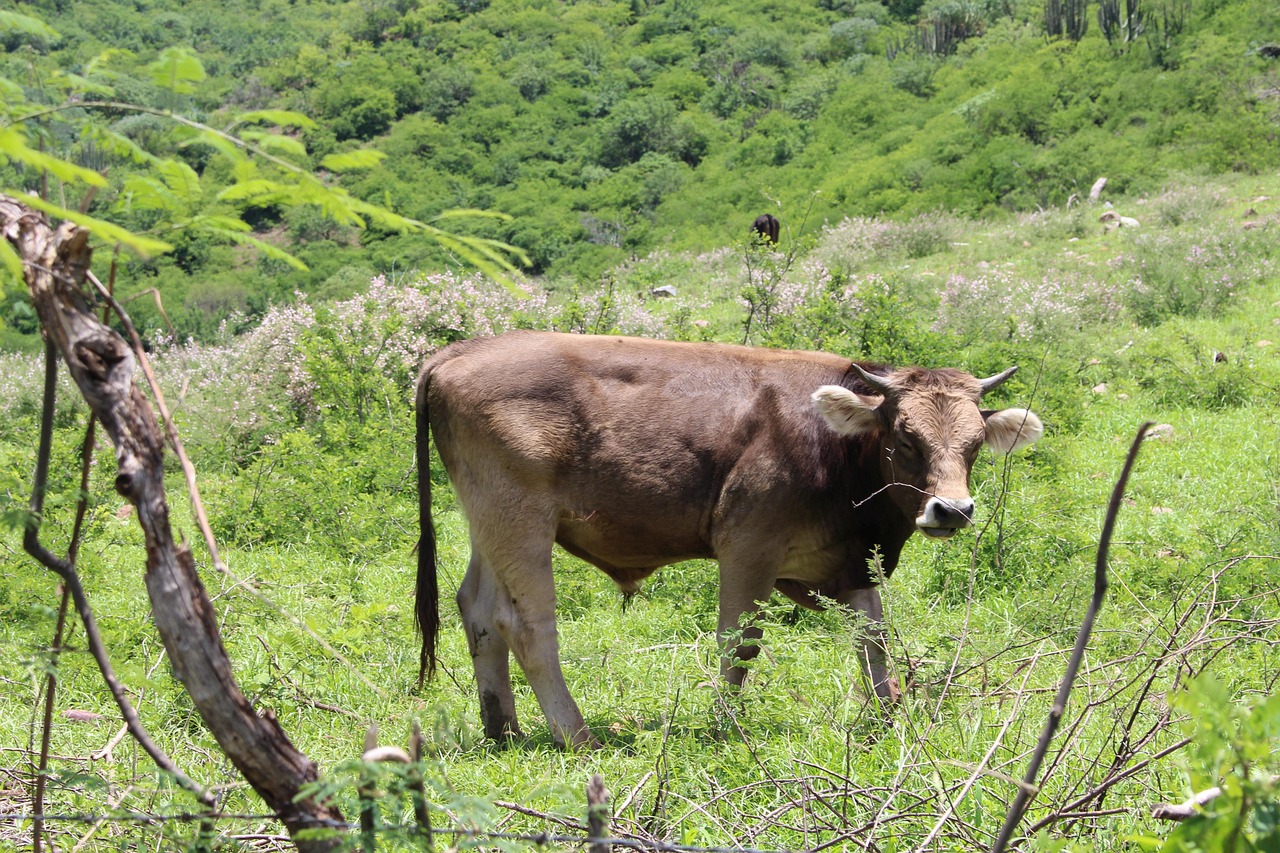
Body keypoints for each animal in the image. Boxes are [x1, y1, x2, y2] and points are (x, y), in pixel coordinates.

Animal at [415, 331, 1042, 749]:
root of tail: (459, 352)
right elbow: (738, 644)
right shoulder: (749, 547)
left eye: (975, 443)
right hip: (521, 521)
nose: (951, 509)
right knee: (527, 625)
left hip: (488, 521)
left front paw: (889, 720)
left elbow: (874, 638)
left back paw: (503, 729)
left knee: (479, 610)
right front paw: (726, 726)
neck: (831, 446)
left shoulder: (847, 562)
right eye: (906, 438)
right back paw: (577, 735)